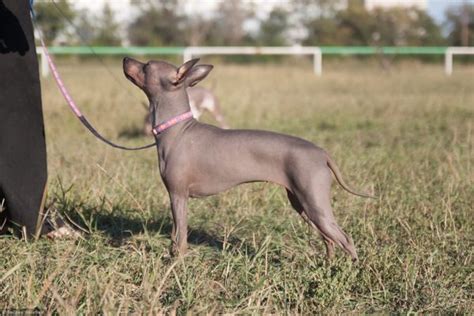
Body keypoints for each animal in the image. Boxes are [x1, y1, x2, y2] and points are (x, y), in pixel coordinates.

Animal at [120, 56, 372, 260]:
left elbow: (180, 238)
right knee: (329, 239)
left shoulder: (178, 196)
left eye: (147, 66)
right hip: (302, 204)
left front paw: (176, 264)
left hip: (314, 203)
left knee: (345, 239)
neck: (177, 129)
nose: (125, 58)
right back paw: (327, 266)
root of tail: (321, 152)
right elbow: (175, 235)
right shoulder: (176, 197)